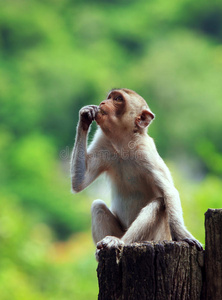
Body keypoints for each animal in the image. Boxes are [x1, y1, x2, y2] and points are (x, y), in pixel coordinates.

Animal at [70, 88, 202, 258]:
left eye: (118, 99)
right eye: (110, 97)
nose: (103, 103)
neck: (123, 144)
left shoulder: (146, 153)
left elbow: (169, 191)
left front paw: (182, 235)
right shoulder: (103, 143)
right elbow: (80, 182)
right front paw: (85, 115)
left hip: (155, 236)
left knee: (159, 204)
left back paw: (119, 241)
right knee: (97, 205)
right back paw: (102, 250)